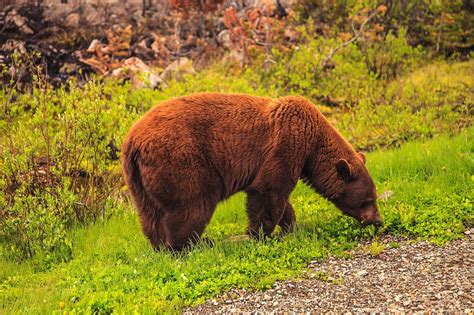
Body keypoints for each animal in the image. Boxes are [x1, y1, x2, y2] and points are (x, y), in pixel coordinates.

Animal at [121, 92, 382, 251]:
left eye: (374, 198)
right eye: (367, 200)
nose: (378, 221)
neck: (313, 143)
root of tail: (133, 142)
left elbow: (279, 198)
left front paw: (291, 226)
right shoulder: (285, 144)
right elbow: (268, 191)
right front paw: (262, 234)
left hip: (138, 180)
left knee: (150, 215)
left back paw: (161, 246)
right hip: (182, 162)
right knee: (192, 207)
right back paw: (192, 245)